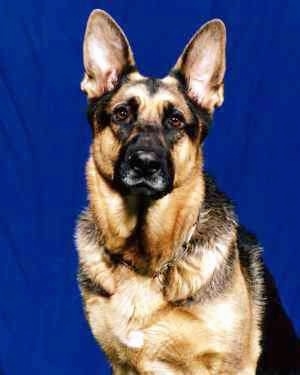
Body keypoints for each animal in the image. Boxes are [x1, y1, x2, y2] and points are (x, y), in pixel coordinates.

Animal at [77, 8, 300, 375]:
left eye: (176, 121)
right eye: (122, 114)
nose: (145, 164)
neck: (147, 261)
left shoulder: (231, 365)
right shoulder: (121, 365)